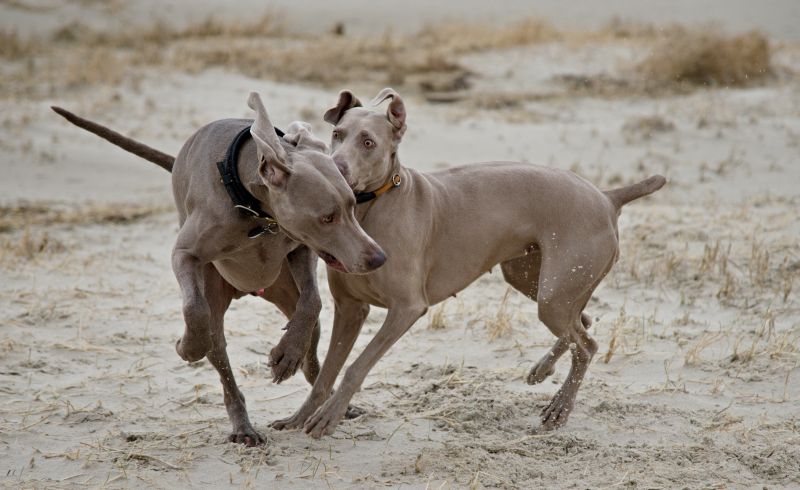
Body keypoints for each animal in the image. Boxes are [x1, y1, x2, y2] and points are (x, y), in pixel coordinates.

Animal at [52, 93, 384, 448]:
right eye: (326, 217)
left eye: (352, 206)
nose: (377, 258)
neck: (256, 212)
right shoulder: (185, 256)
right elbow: (195, 310)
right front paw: (188, 346)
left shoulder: (301, 248)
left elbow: (312, 302)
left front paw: (286, 355)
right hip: (217, 295)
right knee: (222, 361)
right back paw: (243, 427)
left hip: (284, 288)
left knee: (312, 343)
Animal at [272, 87, 664, 436]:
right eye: (337, 134)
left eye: (368, 142)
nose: (335, 169)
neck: (372, 208)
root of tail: (607, 196)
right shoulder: (350, 309)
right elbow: (326, 372)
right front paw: (299, 417)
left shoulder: (407, 308)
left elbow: (356, 366)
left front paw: (329, 417)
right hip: (533, 278)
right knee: (581, 321)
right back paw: (541, 370)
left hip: (555, 290)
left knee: (587, 344)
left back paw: (559, 409)